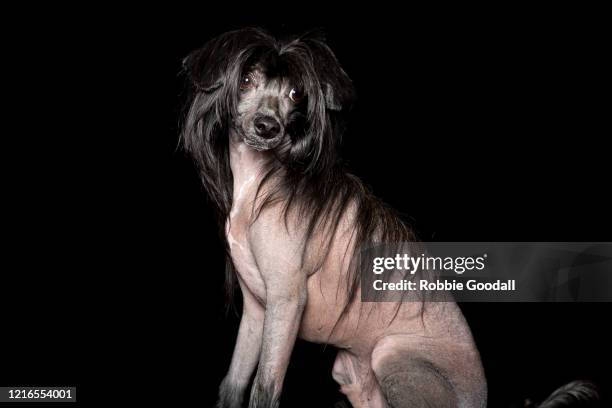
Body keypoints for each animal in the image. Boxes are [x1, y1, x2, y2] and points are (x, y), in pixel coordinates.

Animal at [179, 28, 596, 408]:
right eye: (246, 80)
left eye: (297, 93)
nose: (267, 127)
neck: (258, 180)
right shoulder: (256, 311)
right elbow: (233, 383)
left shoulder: (285, 302)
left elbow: (264, 389)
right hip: (351, 374)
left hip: (389, 355)